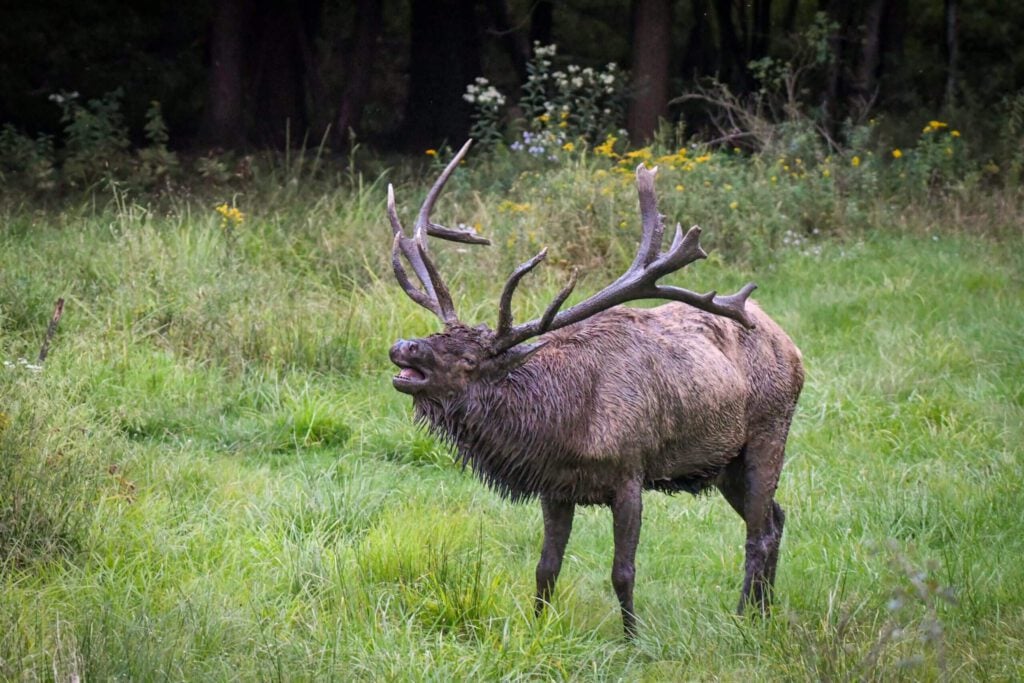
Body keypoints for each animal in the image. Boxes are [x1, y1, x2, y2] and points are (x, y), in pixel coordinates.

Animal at [385, 141, 804, 637]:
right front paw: (538, 628)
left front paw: (632, 639)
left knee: (758, 533)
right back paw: (765, 611)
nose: (404, 346)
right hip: (724, 464)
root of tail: (791, 345)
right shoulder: (554, 486)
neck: (565, 425)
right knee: (776, 517)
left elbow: (623, 571)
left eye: (470, 360)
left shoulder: (630, 473)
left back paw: (744, 618)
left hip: (768, 431)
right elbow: (546, 567)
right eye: (436, 336)